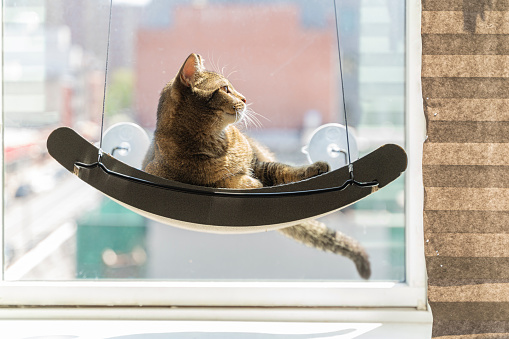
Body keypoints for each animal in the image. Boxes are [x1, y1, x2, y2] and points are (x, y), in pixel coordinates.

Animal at [143, 53, 370, 280]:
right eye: (225, 89)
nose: (244, 98)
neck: (219, 146)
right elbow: (228, 181)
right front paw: (246, 182)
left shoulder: (259, 164)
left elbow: (285, 170)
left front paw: (312, 169)